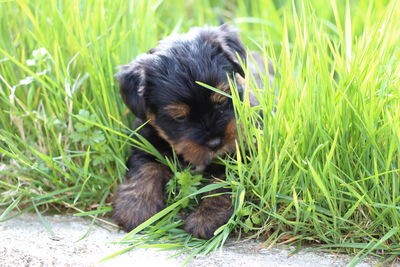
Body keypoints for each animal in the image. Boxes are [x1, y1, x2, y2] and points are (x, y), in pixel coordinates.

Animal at [112, 24, 272, 240]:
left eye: (221, 100)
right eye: (179, 117)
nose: (215, 143)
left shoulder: (244, 149)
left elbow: (224, 181)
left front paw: (206, 218)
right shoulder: (145, 138)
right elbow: (145, 166)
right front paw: (136, 207)